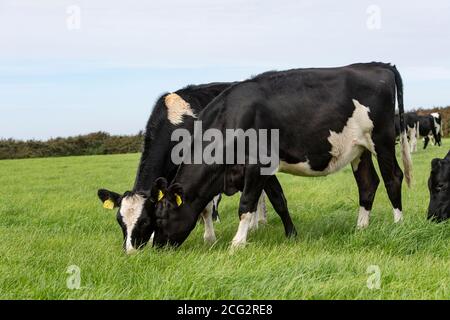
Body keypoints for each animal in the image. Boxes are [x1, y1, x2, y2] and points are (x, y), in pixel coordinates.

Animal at [146, 62, 414, 248]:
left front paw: (237, 243)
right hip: (359, 149)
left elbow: (246, 204)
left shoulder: (257, 164)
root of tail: (379, 65)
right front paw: (291, 234)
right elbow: (279, 200)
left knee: (393, 177)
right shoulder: (264, 169)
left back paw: (398, 224)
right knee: (368, 183)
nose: (157, 247)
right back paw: (360, 228)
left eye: (160, 217)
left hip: (382, 139)